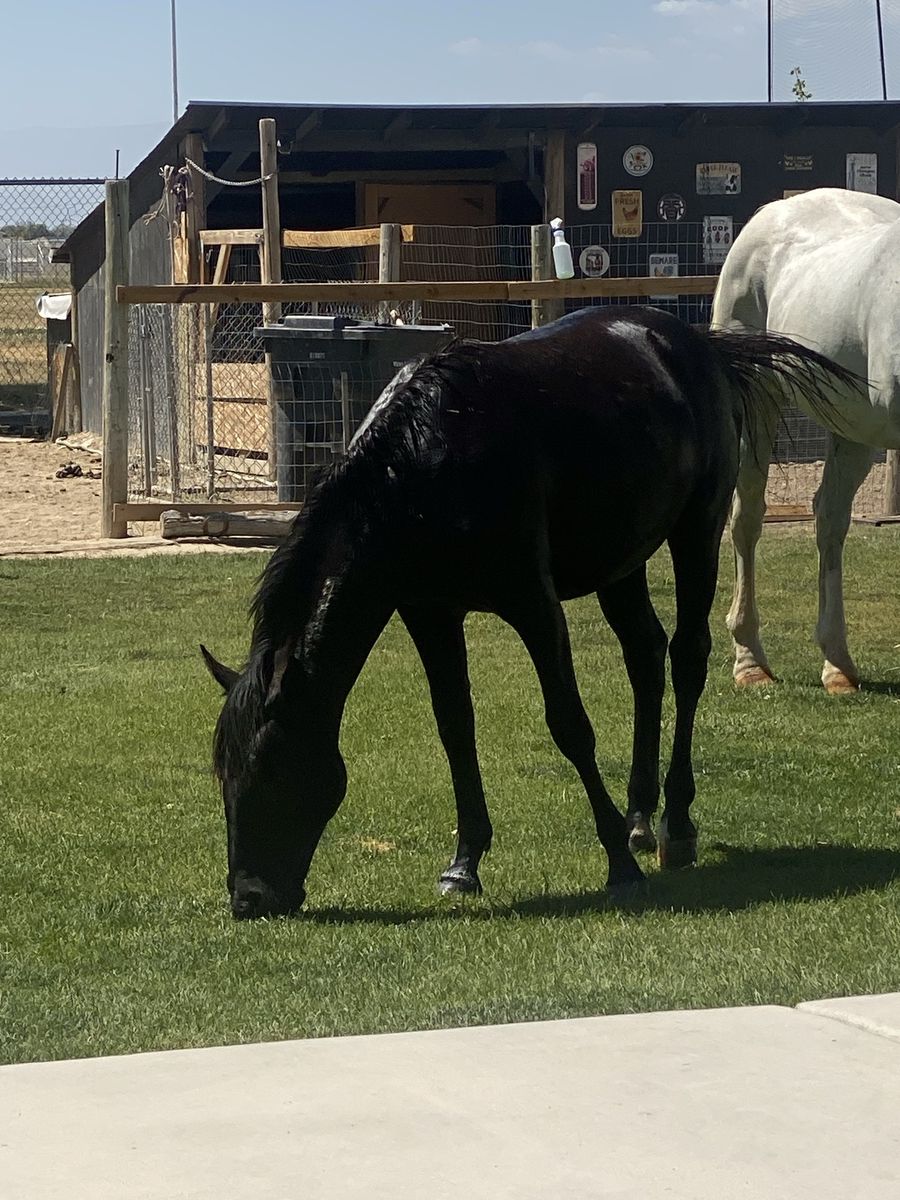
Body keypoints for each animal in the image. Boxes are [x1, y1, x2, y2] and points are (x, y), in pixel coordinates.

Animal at [201, 305, 858, 920]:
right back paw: (639, 816)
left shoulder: (534, 606)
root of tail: (697, 345)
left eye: (270, 769)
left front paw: (617, 864)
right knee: (645, 655)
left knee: (687, 658)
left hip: (697, 529)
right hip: (619, 561)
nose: (248, 898)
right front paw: (464, 864)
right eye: (223, 775)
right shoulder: (430, 615)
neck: (424, 462)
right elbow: (455, 728)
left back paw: (675, 823)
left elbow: (570, 725)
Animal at [711, 187, 899, 694]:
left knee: (829, 519)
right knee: (747, 518)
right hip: (757, 401)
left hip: (852, 429)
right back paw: (750, 662)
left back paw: (837, 664)